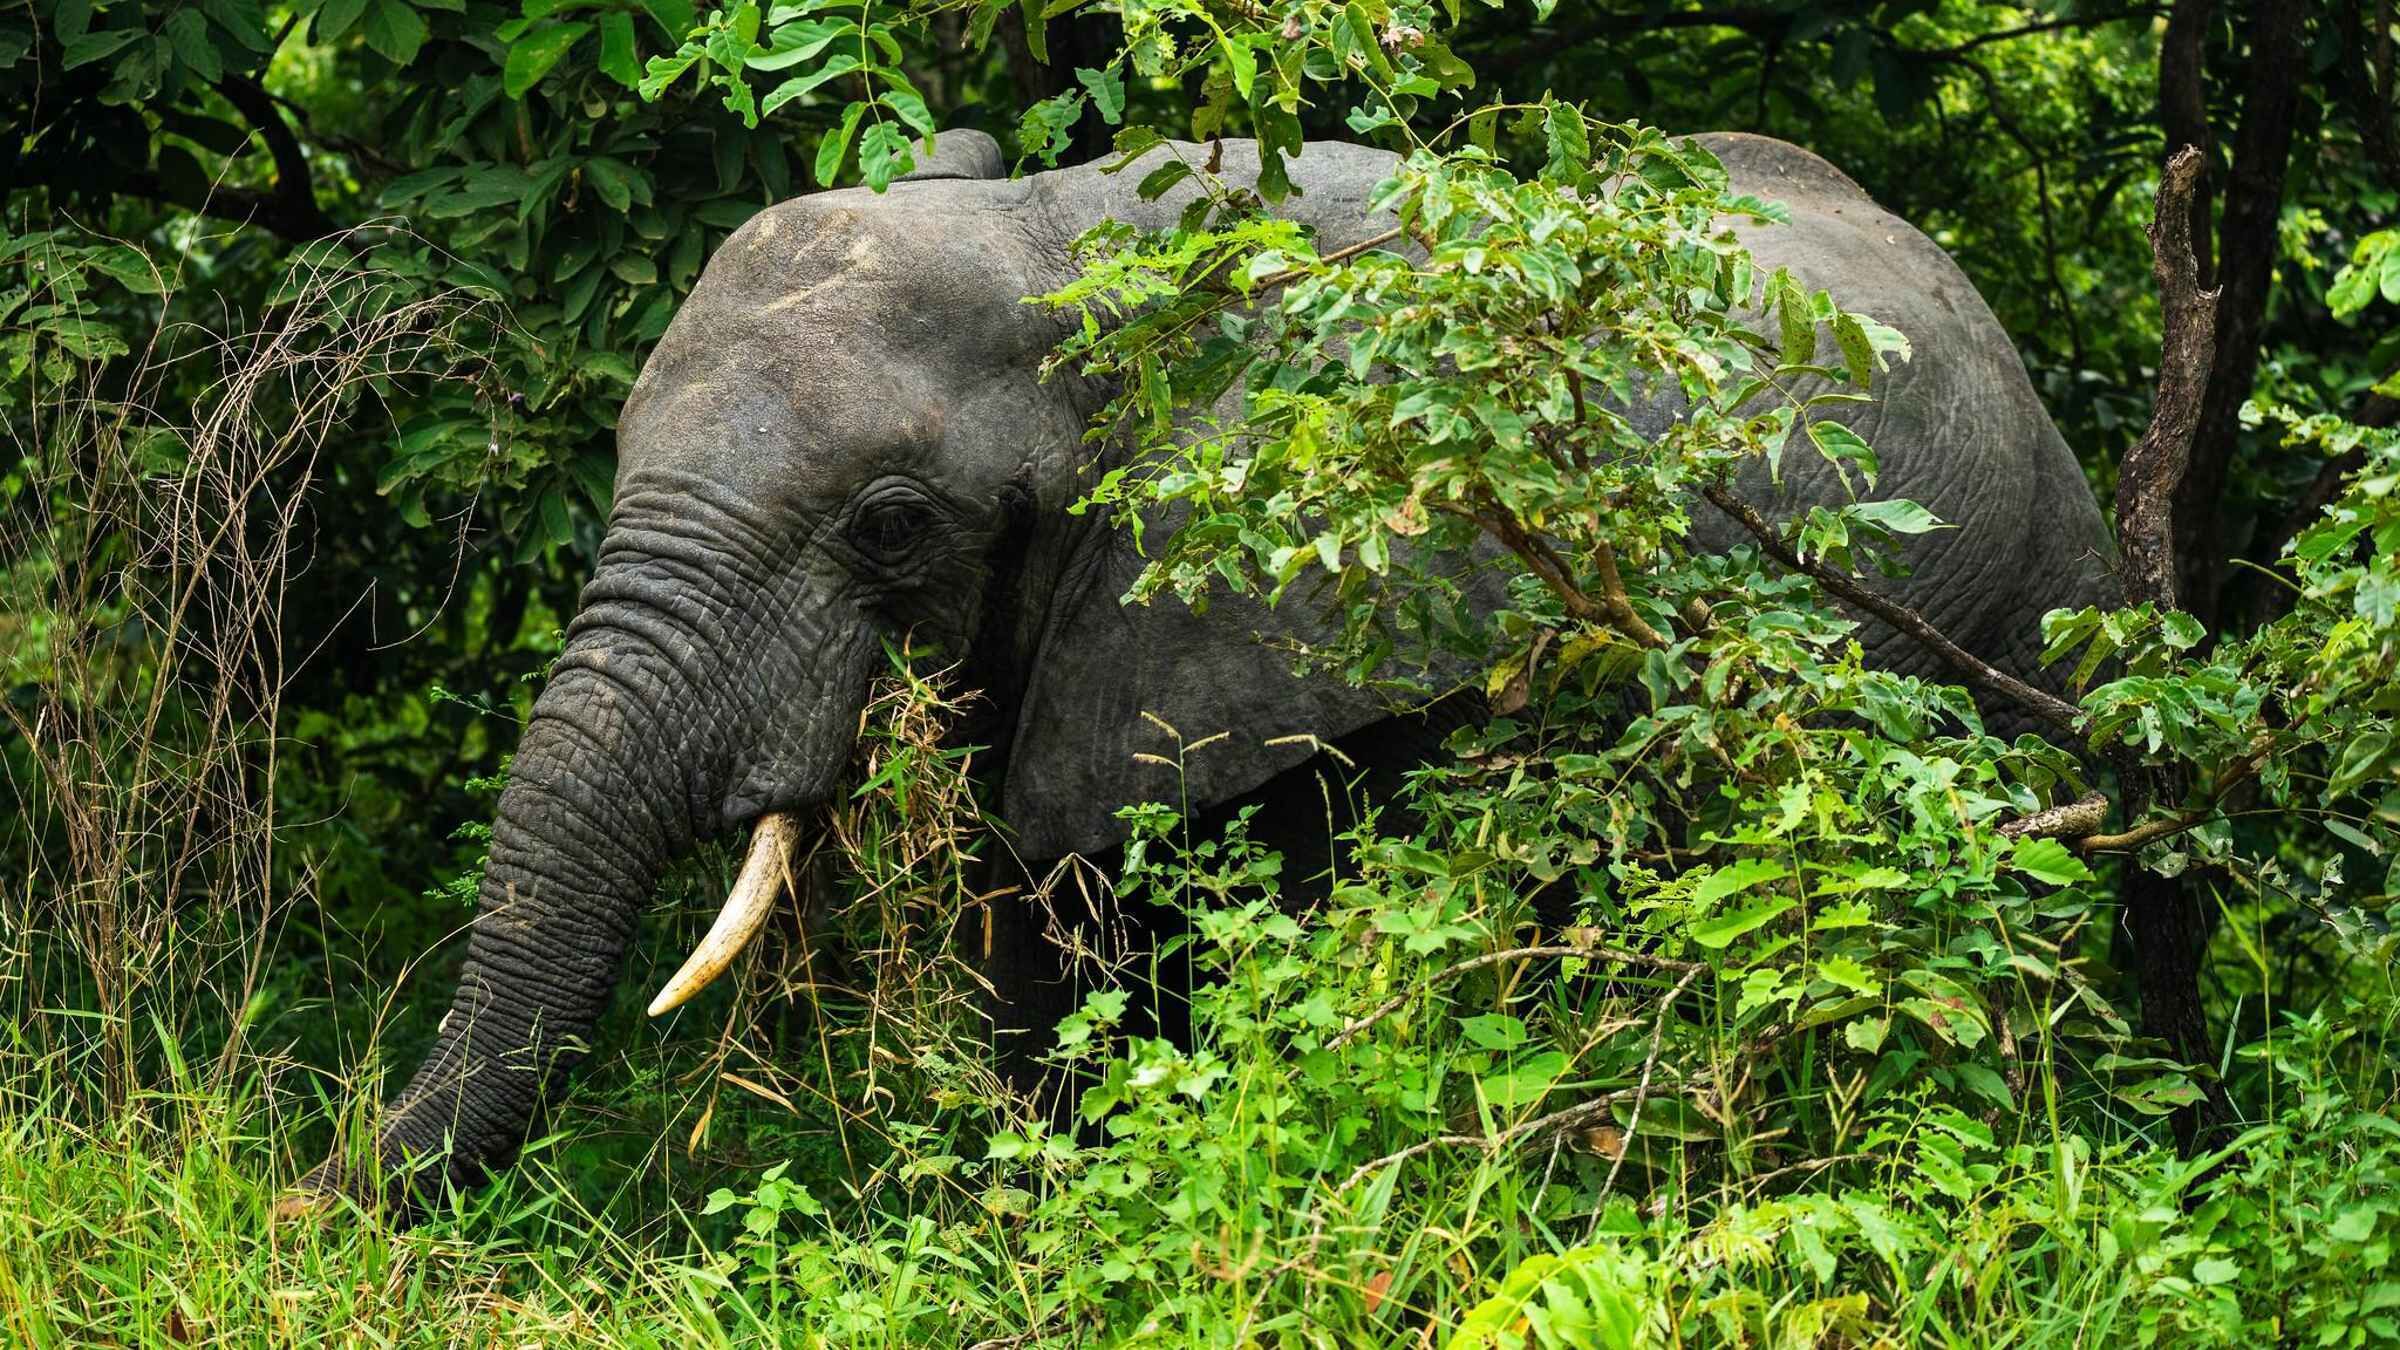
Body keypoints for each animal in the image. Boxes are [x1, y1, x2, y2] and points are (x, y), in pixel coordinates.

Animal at [285, 126, 2121, 1210]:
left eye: (889, 524)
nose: (300, 1189)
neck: (1066, 237)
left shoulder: (1362, 590)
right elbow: (1044, 914)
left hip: (2033, 590)